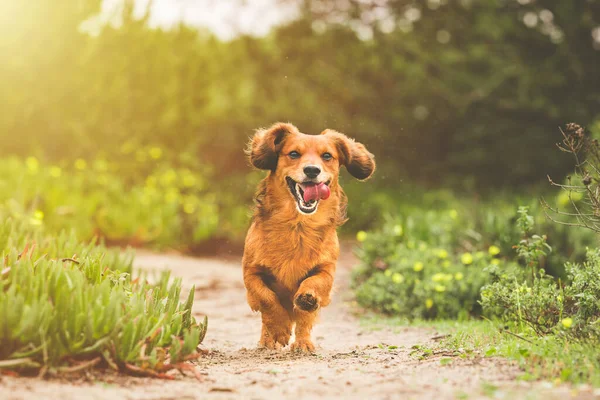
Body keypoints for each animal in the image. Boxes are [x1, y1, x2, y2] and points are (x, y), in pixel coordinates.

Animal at [240, 122, 372, 354]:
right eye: (293, 153)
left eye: (327, 156)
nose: (312, 170)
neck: (298, 226)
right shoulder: (251, 272)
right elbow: (267, 299)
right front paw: (280, 328)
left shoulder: (326, 269)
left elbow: (313, 286)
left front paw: (307, 298)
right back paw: (268, 340)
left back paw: (303, 343)